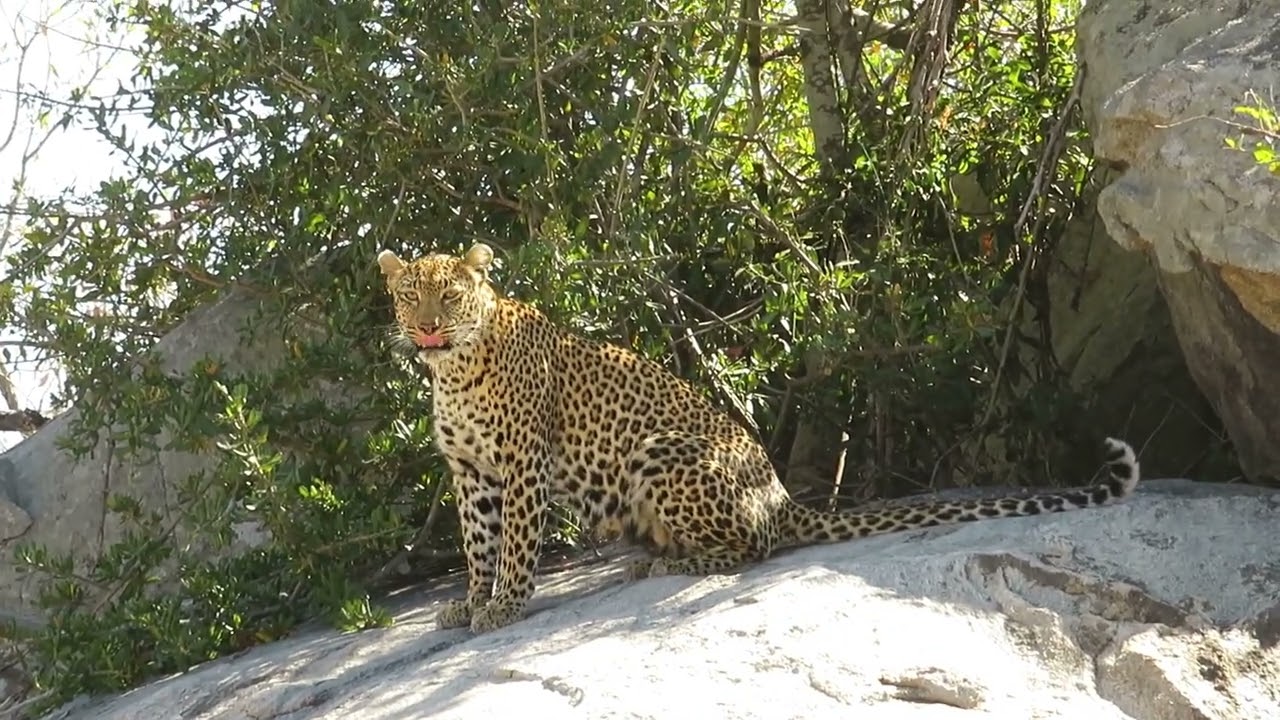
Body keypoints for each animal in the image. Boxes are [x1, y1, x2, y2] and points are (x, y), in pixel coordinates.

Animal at [376, 243, 1141, 634]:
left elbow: (513, 545)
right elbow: (477, 544)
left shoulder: (522, 464)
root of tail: (780, 494)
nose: (426, 327)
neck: (454, 368)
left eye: (451, 295)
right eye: (410, 295)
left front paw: (504, 606)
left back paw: (665, 566)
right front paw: (471, 602)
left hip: (662, 451)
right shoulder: (471, 473)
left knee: (752, 549)